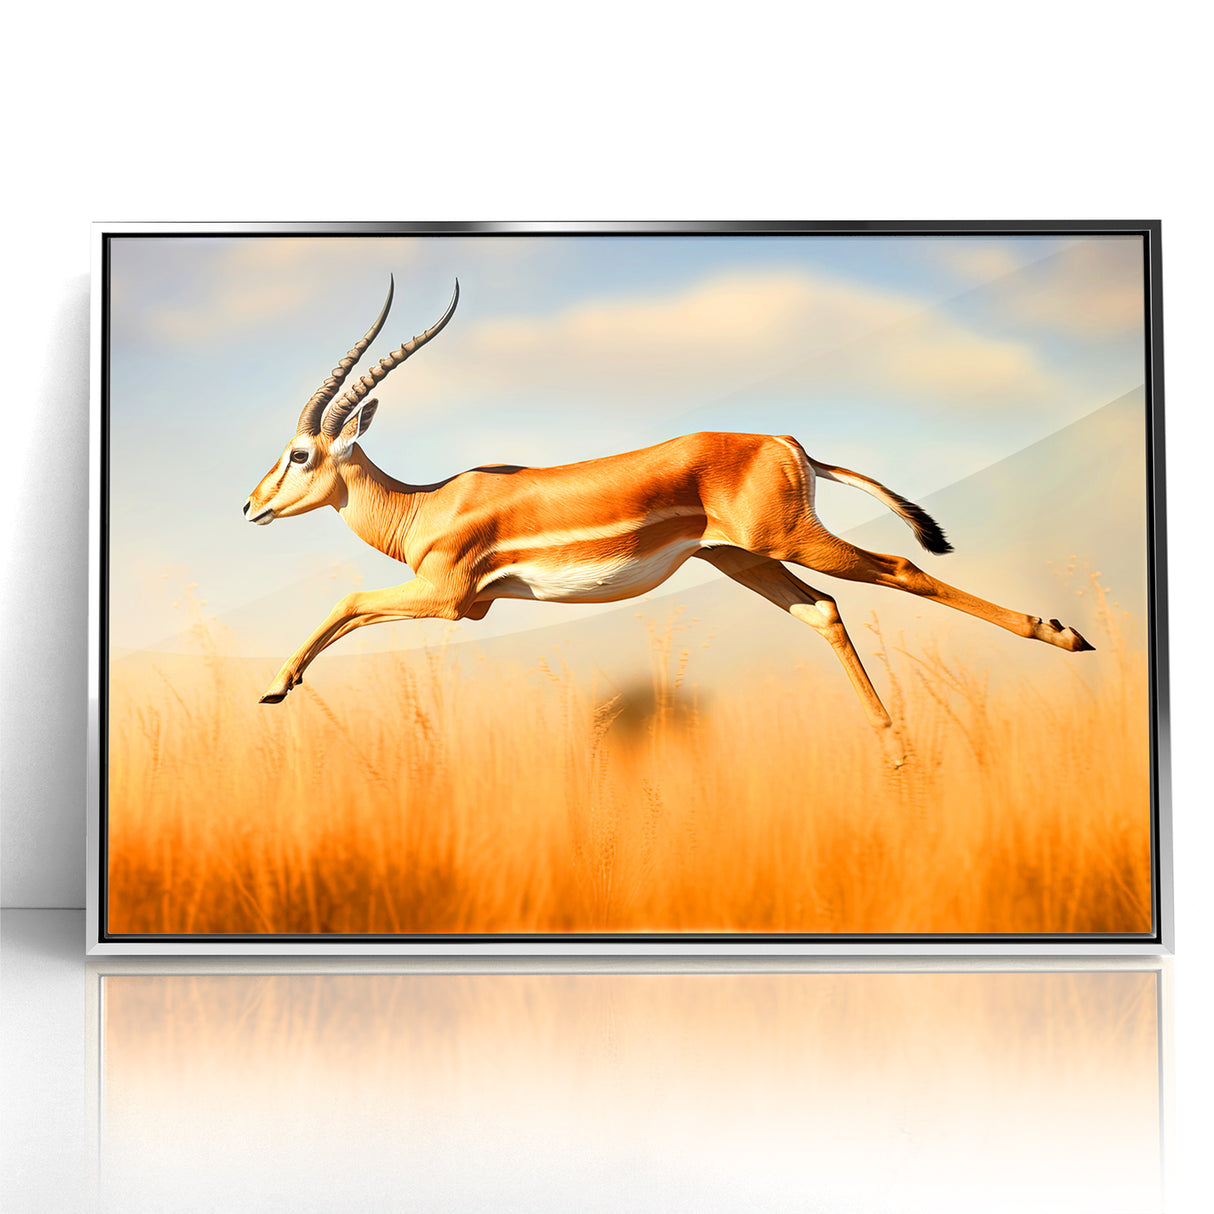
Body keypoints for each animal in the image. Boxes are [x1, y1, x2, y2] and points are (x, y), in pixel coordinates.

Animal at [244, 278, 1094, 765]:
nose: (251, 505)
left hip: (788, 541)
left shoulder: (452, 598)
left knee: (902, 569)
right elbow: (354, 611)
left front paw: (276, 687)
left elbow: (349, 601)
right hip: (741, 560)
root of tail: (787, 442)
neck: (424, 504)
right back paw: (896, 750)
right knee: (823, 611)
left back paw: (1063, 635)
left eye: (298, 453)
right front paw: (282, 686)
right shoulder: (458, 604)